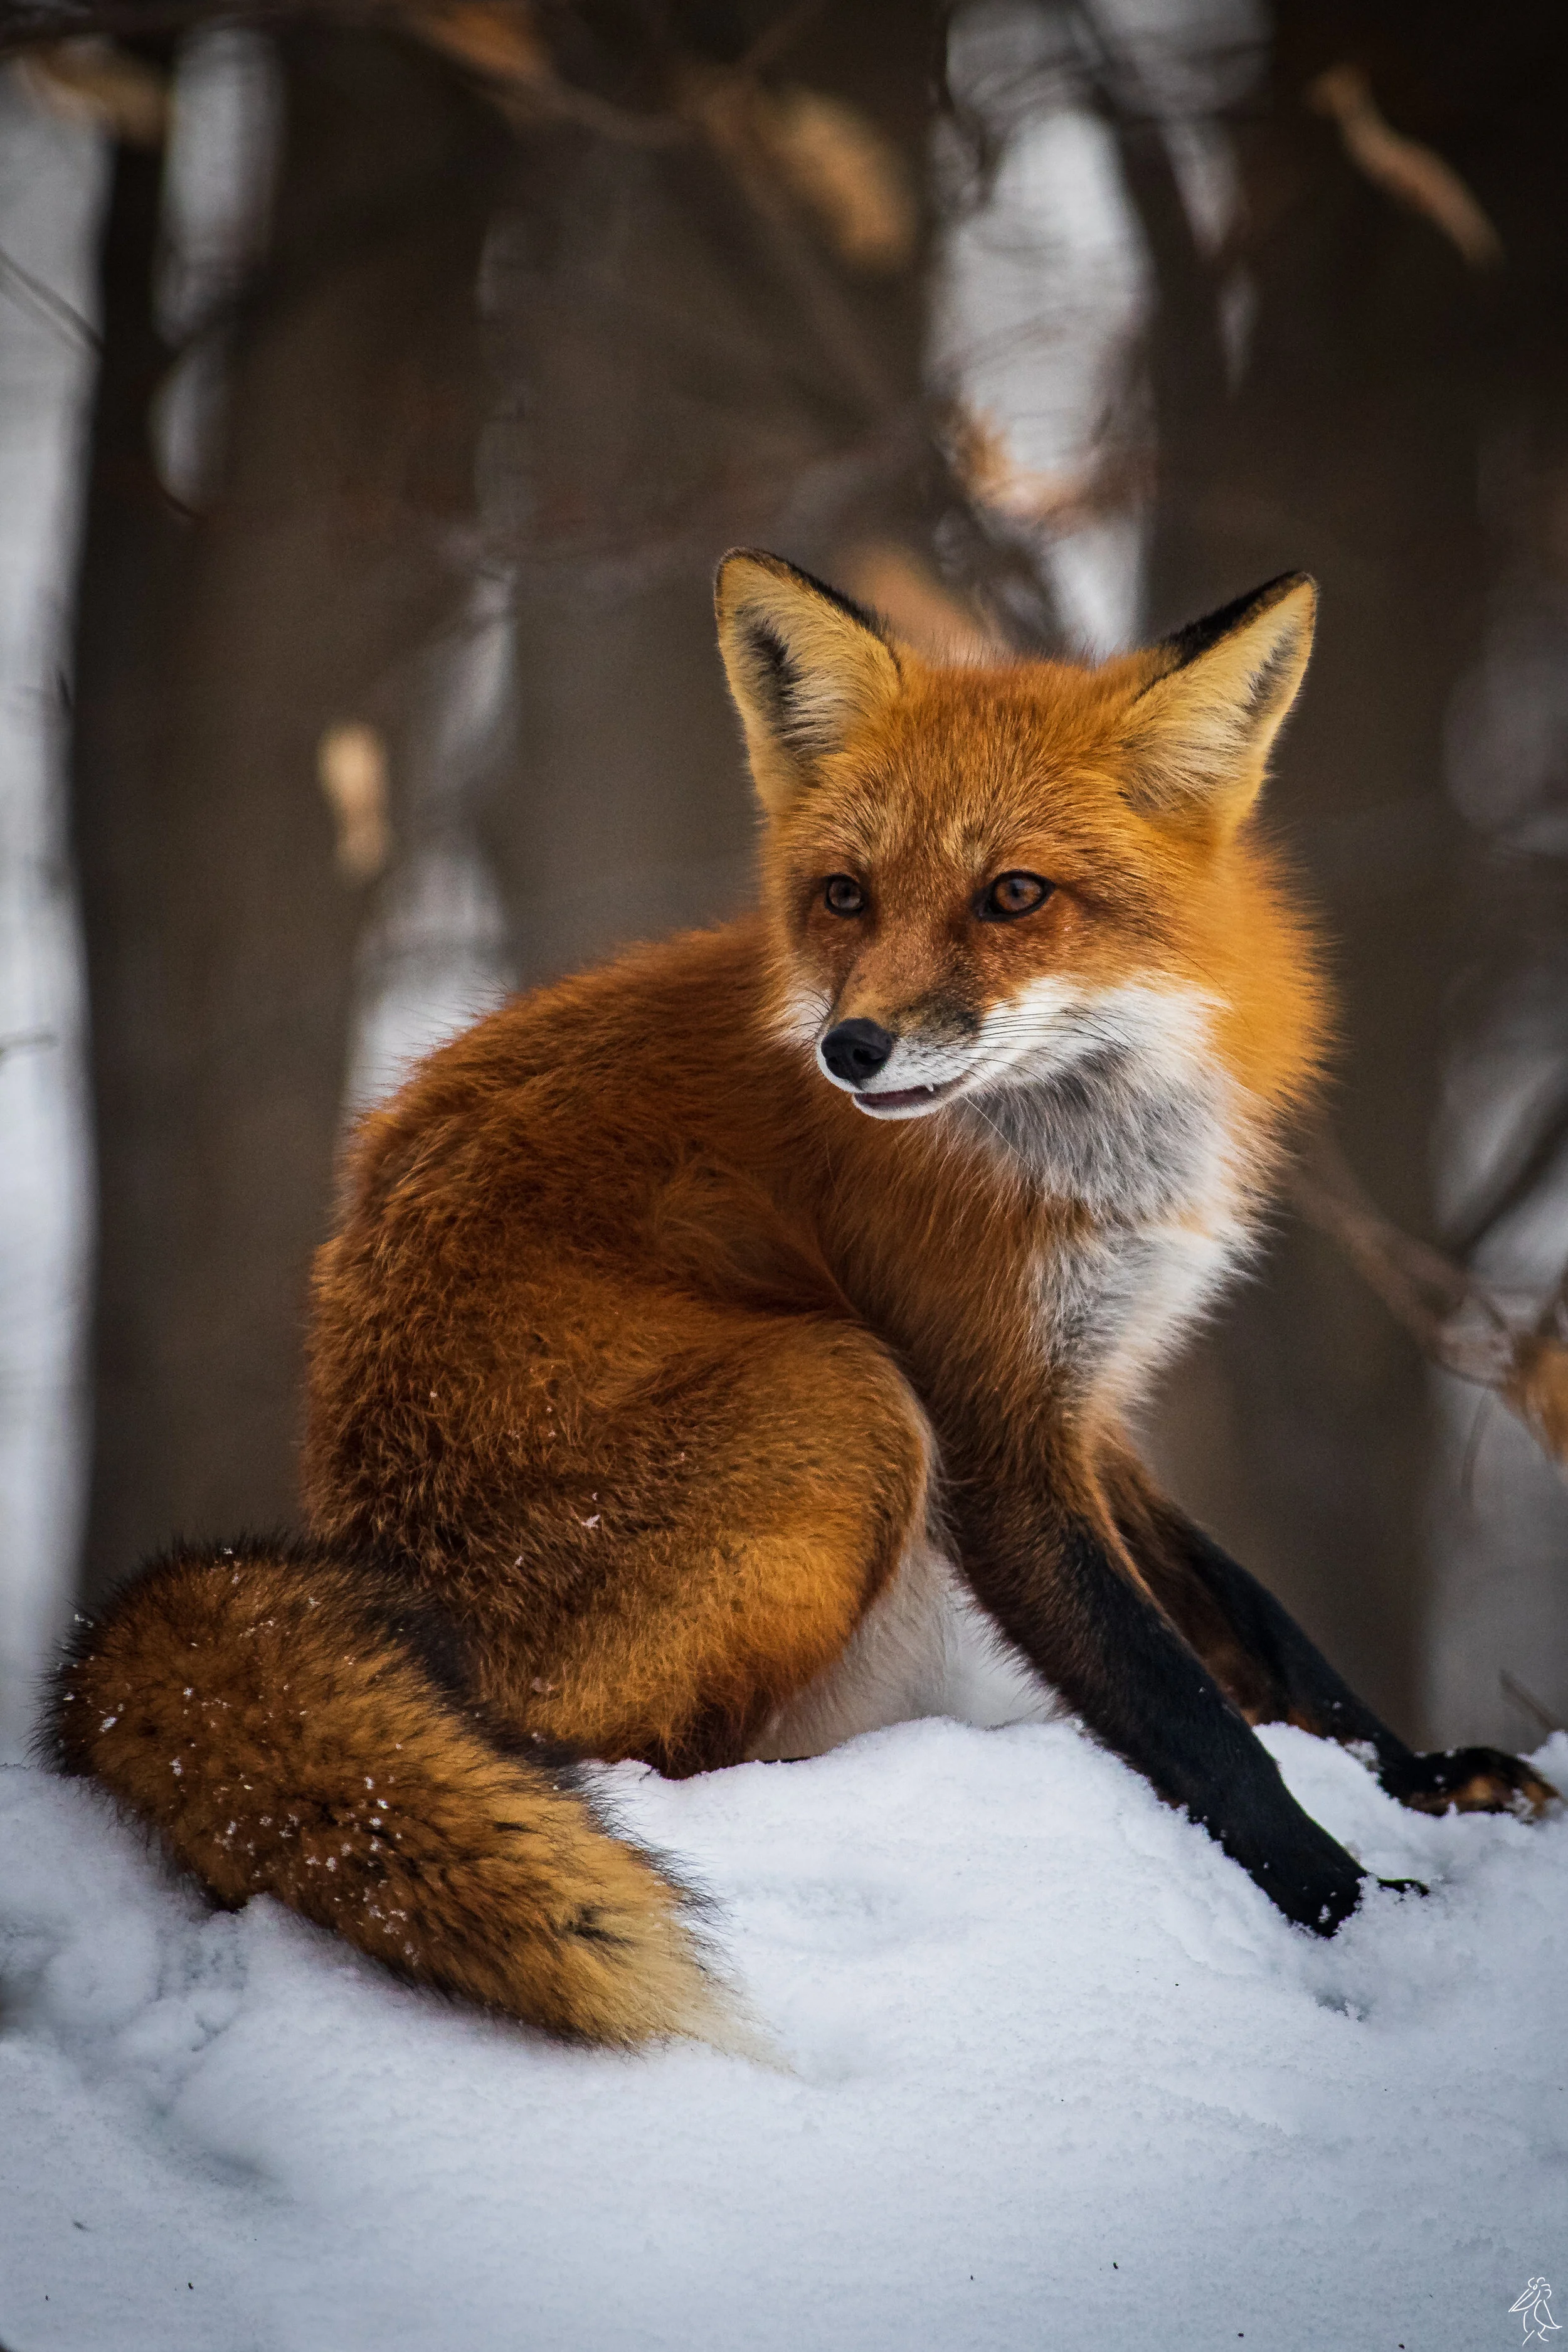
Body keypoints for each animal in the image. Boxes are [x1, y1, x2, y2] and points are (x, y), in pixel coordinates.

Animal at [48, 551, 1557, 2047]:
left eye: (1014, 895)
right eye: (844, 895)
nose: (852, 1048)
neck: (1087, 1139)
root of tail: (365, 1558)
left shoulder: (1083, 1387)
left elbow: (1258, 1629)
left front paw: (1425, 1779)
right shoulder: (988, 1427)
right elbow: (1185, 1710)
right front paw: (1353, 1904)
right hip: (846, 1400)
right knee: (638, 1765)